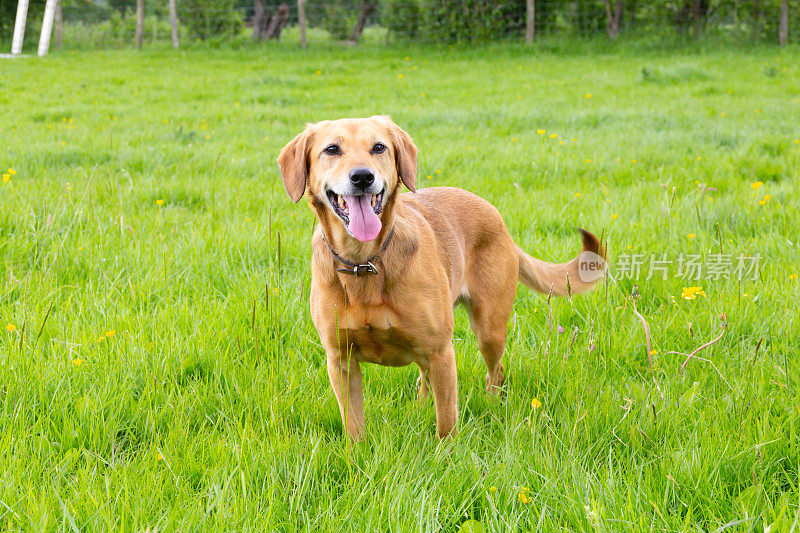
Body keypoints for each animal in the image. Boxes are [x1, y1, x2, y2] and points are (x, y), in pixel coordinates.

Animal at [278, 116, 604, 440]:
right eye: (332, 149)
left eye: (379, 147)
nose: (362, 177)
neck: (365, 262)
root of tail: (498, 218)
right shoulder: (341, 361)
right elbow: (354, 424)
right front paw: (357, 450)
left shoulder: (441, 352)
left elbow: (447, 420)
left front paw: (445, 450)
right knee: (424, 378)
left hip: (489, 330)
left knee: (495, 371)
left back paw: (492, 404)